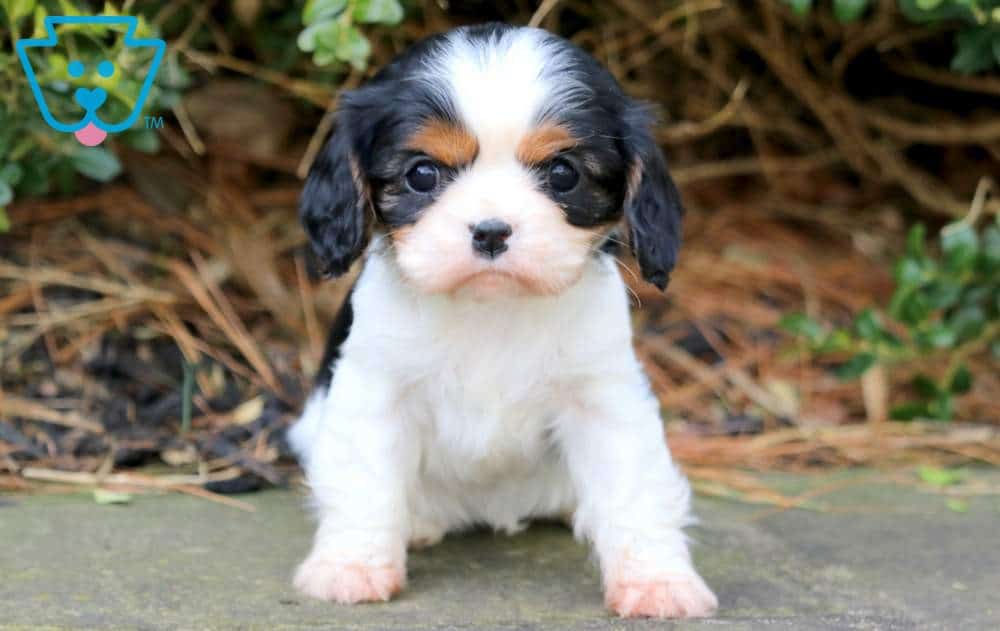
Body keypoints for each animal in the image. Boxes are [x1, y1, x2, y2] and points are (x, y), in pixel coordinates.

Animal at [290, 22, 720, 620]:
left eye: (562, 174)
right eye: (422, 175)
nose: (491, 231)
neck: (491, 309)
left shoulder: (605, 397)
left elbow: (634, 486)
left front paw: (657, 581)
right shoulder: (376, 391)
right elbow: (364, 480)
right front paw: (350, 567)